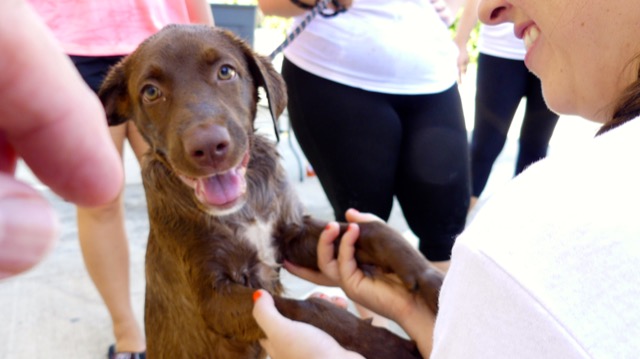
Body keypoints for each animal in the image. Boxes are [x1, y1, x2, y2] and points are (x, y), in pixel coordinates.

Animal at [99, 23, 444, 358]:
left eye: (226, 72)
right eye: (151, 92)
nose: (208, 147)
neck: (244, 207)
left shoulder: (292, 234)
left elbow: (377, 233)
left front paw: (438, 285)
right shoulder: (214, 300)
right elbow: (305, 309)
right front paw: (384, 345)